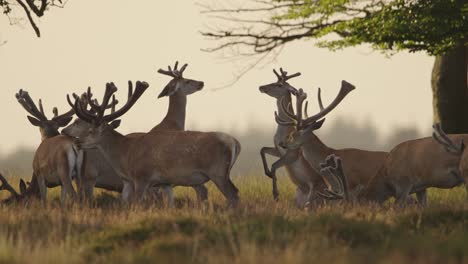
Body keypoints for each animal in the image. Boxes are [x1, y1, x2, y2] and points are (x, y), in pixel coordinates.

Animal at [63, 81, 241, 207]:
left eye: (91, 130)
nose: (77, 141)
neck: (126, 154)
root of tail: (235, 142)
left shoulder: (142, 176)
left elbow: (138, 204)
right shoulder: (148, 182)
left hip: (218, 171)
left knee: (234, 194)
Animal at [260, 68, 326, 206]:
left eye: (279, 85)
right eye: (275, 81)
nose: (261, 87)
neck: (284, 130)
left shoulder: (292, 153)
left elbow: (274, 165)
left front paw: (276, 194)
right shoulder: (278, 148)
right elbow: (262, 149)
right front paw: (268, 173)